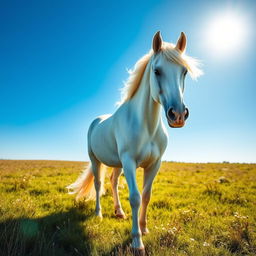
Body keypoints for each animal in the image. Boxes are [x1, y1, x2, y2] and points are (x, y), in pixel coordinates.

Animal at [67, 31, 202, 253]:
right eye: (157, 71)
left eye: (184, 72)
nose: (178, 115)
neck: (146, 125)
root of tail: (97, 120)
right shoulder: (130, 162)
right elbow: (136, 197)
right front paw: (137, 242)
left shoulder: (154, 164)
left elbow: (147, 196)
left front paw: (144, 228)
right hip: (96, 160)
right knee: (98, 184)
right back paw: (99, 213)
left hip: (117, 164)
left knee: (112, 182)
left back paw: (119, 212)